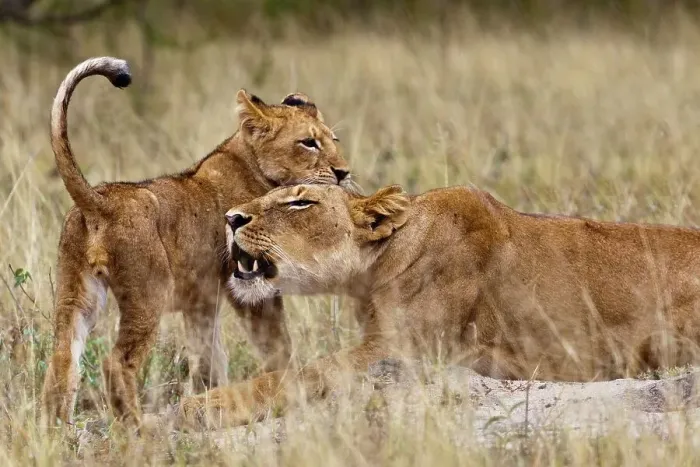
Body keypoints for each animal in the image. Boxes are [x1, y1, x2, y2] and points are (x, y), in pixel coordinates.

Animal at [40, 57, 356, 428]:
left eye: (334, 139)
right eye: (308, 143)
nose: (344, 172)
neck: (252, 165)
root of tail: (98, 199)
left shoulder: (201, 301)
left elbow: (209, 358)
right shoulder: (251, 284)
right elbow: (277, 344)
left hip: (76, 294)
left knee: (62, 360)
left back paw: (56, 431)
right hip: (149, 293)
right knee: (116, 362)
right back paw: (135, 429)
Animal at [172, 182, 700, 429]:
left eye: (300, 203)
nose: (231, 217)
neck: (377, 264)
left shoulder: (399, 350)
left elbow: (300, 374)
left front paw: (202, 406)